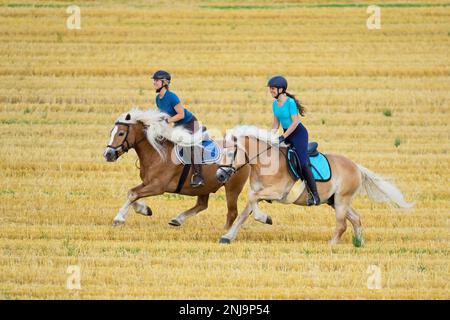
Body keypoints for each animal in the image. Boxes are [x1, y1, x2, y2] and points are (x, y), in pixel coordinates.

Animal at [102, 109, 250, 229]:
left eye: (121, 133)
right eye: (111, 132)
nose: (108, 154)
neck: (157, 154)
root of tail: (244, 151)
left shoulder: (157, 187)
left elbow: (133, 195)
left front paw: (119, 218)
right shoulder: (147, 183)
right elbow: (131, 192)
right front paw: (145, 209)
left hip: (232, 188)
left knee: (232, 212)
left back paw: (225, 230)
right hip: (206, 186)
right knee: (202, 205)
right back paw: (177, 219)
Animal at [215, 125, 414, 245]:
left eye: (231, 154)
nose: (219, 175)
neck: (265, 162)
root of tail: (356, 167)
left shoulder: (276, 192)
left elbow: (251, 201)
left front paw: (265, 218)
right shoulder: (259, 192)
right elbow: (244, 212)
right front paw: (227, 237)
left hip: (341, 200)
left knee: (342, 224)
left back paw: (331, 244)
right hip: (334, 201)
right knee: (356, 219)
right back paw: (359, 244)